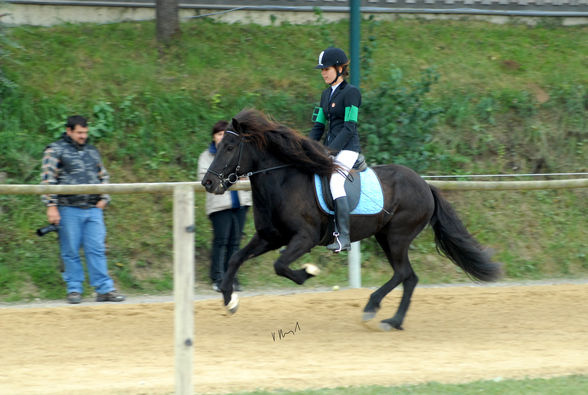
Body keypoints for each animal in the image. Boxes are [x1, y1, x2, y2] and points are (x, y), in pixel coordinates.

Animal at [203, 108, 500, 332]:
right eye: (219, 145)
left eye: (229, 147)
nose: (208, 183)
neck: (283, 181)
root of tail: (425, 185)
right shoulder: (270, 237)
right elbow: (235, 258)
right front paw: (230, 299)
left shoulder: (304, 238)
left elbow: (281, 265)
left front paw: (308, 272)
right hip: (385, 237)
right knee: (409, 277)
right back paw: (394, 321)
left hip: (397, 236)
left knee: (403, 273)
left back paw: (373, 309)